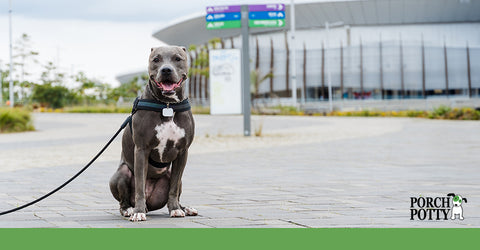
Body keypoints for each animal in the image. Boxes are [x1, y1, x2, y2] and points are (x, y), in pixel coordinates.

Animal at [109, 46, 197, 222]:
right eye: (156, 59)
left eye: (178, 58)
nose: (166, 69)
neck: (167, 104)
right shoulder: (142, 149)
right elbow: (140, 186)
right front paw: (138, 212)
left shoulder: (183, 152)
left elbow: (174, 188)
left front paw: (175, 209)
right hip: (120, 174)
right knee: (124, 200)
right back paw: (130, 209)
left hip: (174, 176)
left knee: (176, 187)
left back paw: (184, 208)